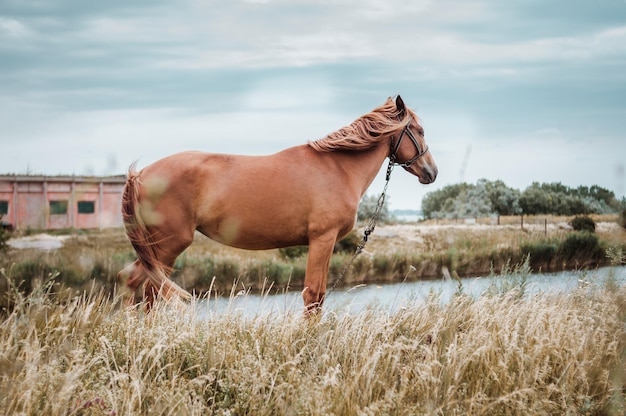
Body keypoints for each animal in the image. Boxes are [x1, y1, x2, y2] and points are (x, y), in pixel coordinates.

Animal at [118, 95, 438, 312]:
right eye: (420, 131)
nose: (432, 172)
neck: (338, 167)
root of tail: (141, 175)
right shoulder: (322, 239)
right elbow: (313, 295)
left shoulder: (324, 242)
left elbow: (319, 296)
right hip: (168, 246)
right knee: (148, 289)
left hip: (157, 249)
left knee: (133, 281)